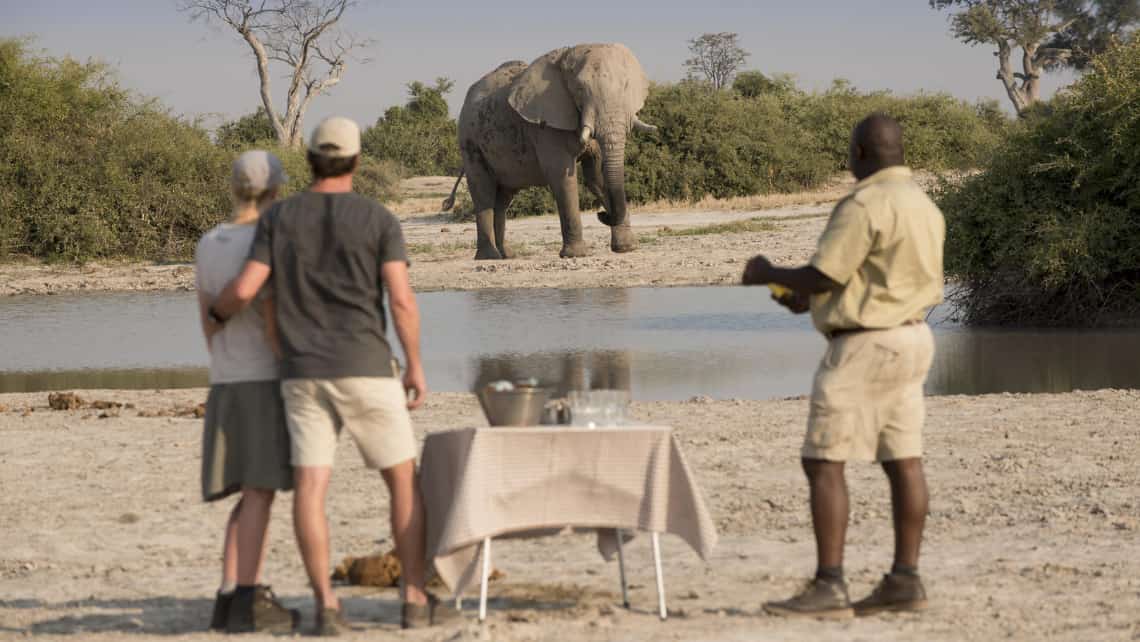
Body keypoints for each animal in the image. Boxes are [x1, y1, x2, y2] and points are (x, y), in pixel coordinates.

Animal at [442, 42, 661, 259]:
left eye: (626, 86)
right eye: (579, 89)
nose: (601, 214)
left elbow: (596, 177)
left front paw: (627, 248)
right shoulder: (546, 126)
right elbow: (562, 177)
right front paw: (575, 254)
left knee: (503, 198)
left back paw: (507, 255)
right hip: (470, 142)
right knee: (484, 192)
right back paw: (489, 257)